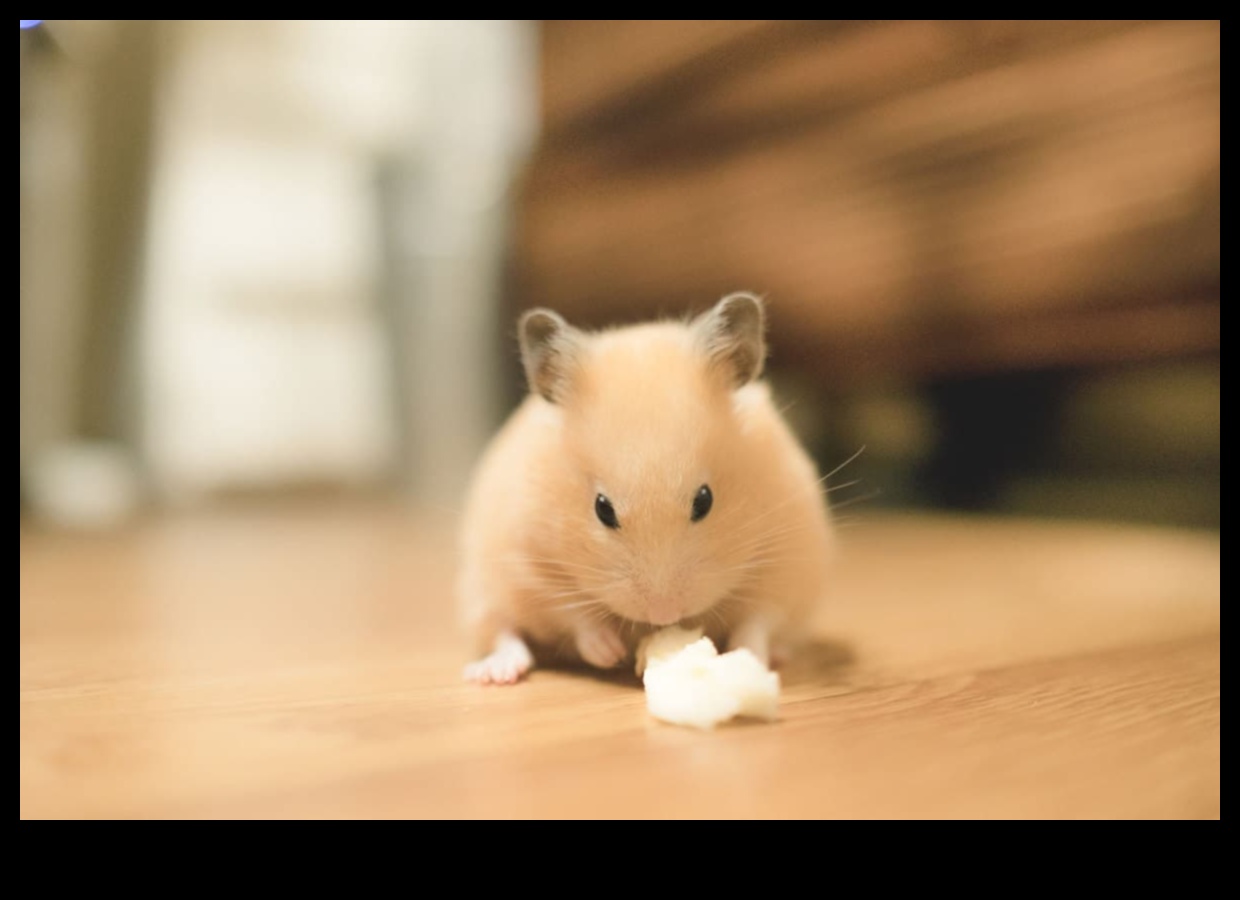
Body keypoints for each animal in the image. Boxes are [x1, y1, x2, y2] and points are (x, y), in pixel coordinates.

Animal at [458, 292, 836, 684]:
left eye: (705, 500)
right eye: (602, 508)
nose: (664, 614)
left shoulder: (787, 559)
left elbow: (759, 620)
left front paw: (748, 658)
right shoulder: (527, 559)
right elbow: (573, 616)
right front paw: (610, 654)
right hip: (482, 589)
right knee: (504, 633)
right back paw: (495, 673)